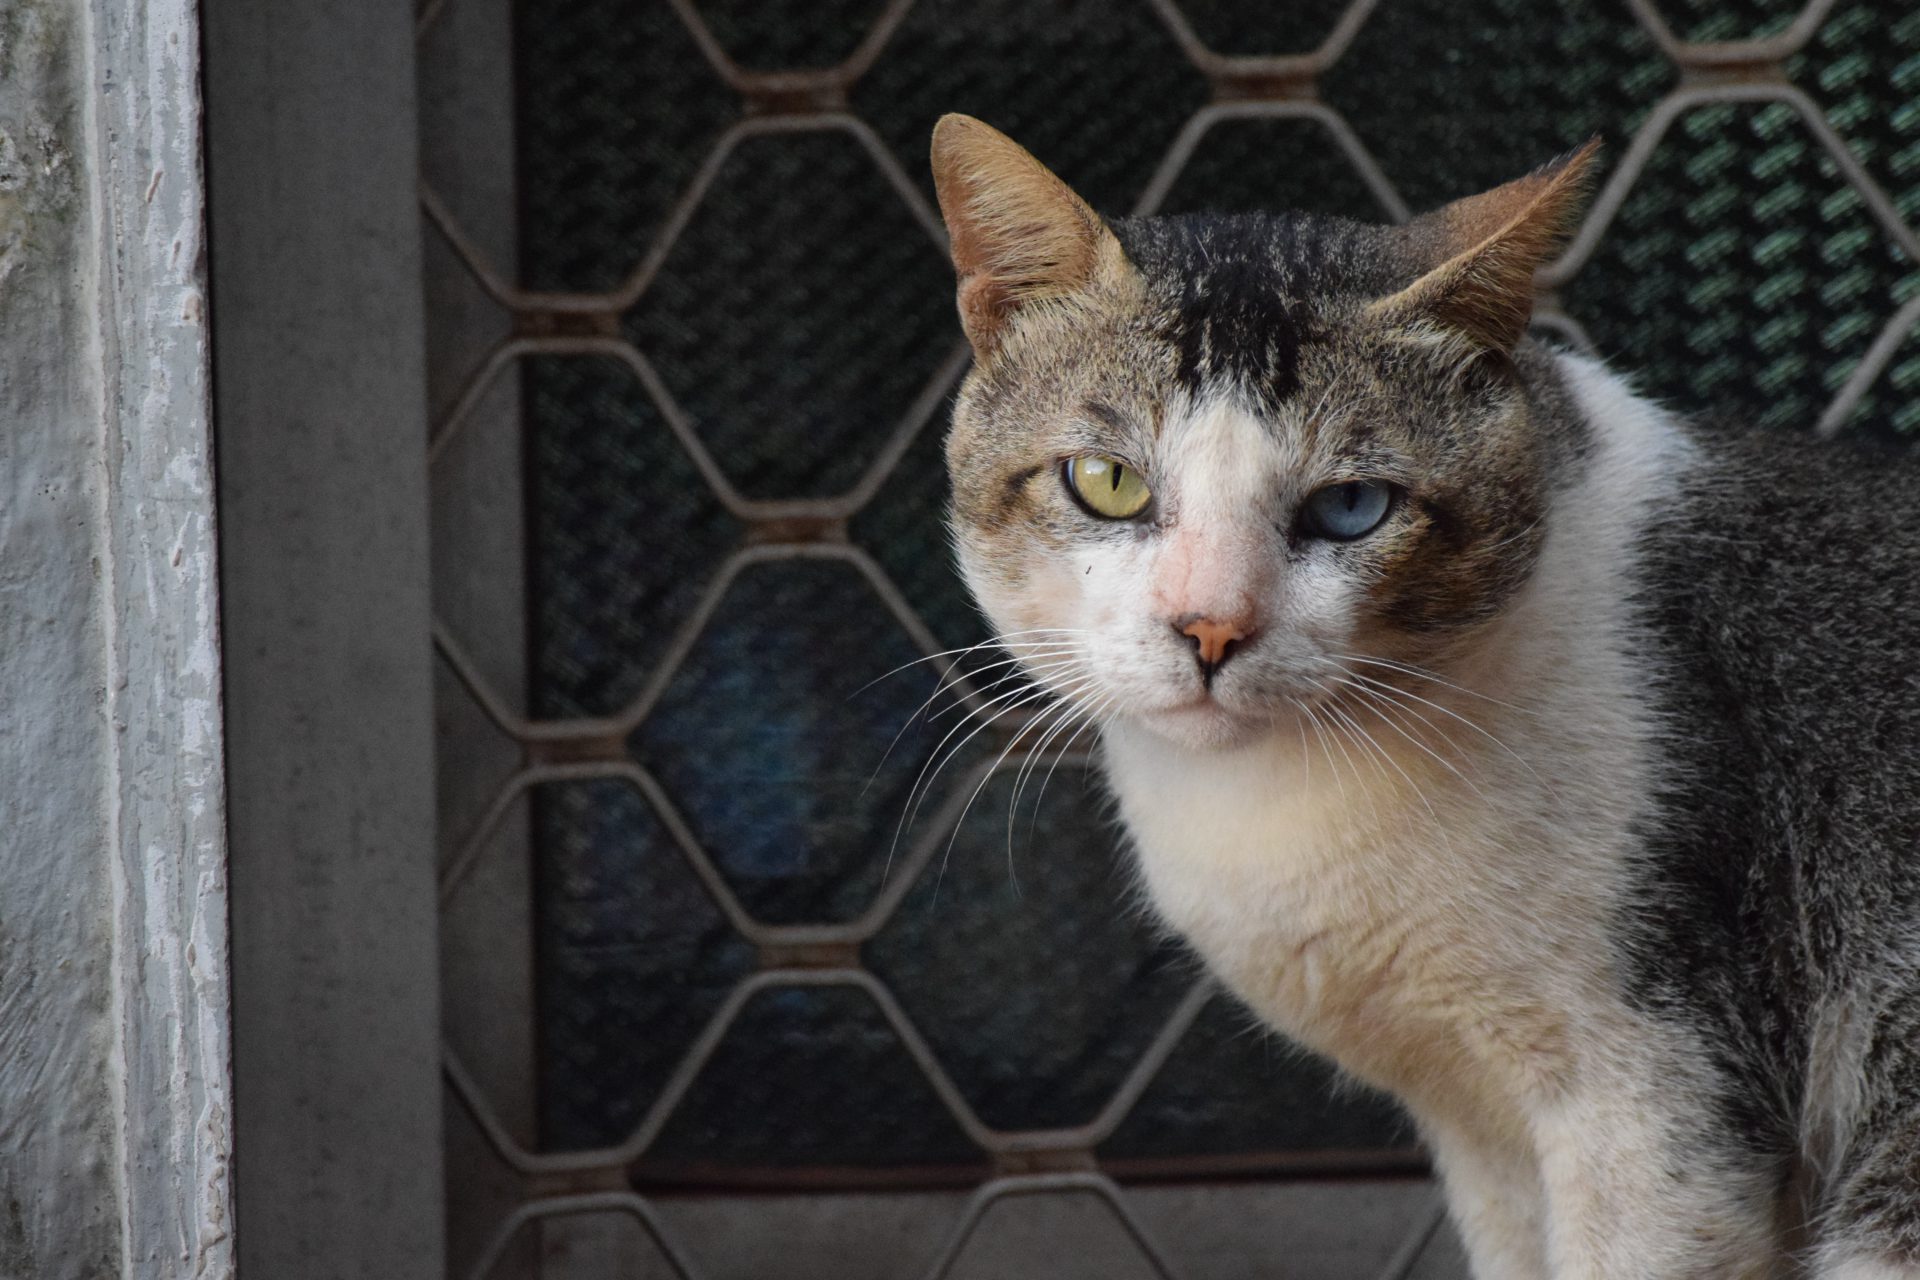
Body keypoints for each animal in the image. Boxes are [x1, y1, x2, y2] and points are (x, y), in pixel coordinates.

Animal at [925, 112, 1920, 1280]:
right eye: (1108, 481)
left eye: (1353, 506)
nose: (1210, 624)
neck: (1278, 807)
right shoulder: (1480, 1127)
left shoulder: (1665, 1090)